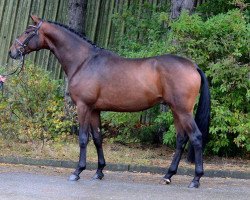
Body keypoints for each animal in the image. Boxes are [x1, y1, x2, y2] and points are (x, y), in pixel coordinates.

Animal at [8, 15, 210, 188]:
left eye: (28, 31)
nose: (12, 52)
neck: (84, 61)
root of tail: (193, 65)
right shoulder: (94, 110)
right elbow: (98, 138)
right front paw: (99, 171)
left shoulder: (83, 107)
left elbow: (83, 138)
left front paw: (77, 171)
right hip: (175, 110)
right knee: (181, 139)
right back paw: (168, 176)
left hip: (183, 111)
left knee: (196, 137)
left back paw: (196, 179)